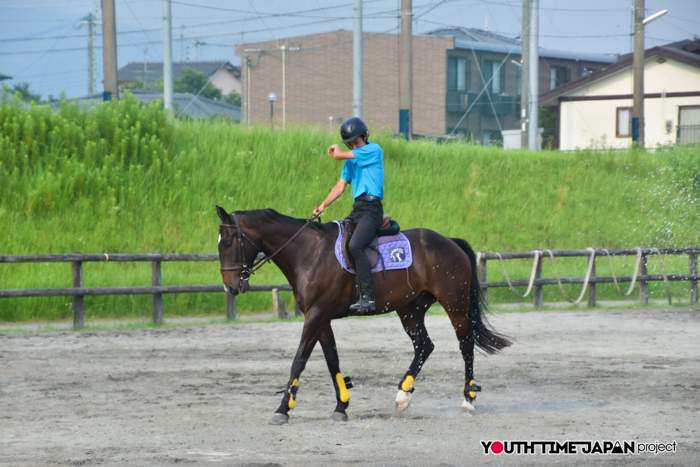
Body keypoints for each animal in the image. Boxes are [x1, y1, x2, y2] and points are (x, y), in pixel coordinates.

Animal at [216, 206, 510, 425]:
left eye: (228, 243)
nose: (230, 287)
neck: (308, 253)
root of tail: (450, 242)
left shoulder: (315, 316)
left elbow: (299, 361)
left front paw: (282, 408)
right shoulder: (320, 317)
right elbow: (332, 361)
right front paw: (341, 406)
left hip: (455, 305)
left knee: (466, 346)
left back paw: (468, 400)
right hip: (410, 309)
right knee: (424, 346)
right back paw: (402, 396)